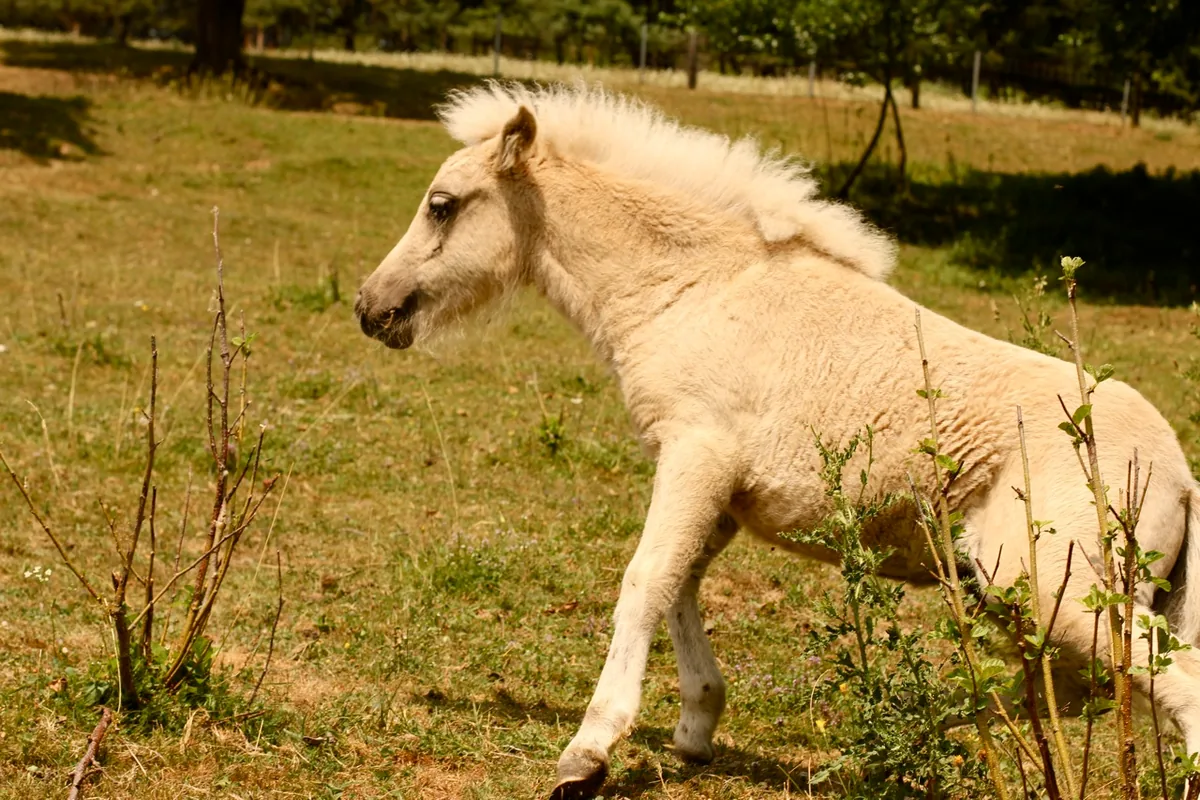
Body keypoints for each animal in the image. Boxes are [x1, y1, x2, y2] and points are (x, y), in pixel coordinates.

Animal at [354, 82, 1200, 798]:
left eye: (442, 206)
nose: (371, 308)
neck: (697, 291)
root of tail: (1181, 476)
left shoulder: (696, 458)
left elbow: (646, 581)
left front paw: (587, 755)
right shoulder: (718, 489)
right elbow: (682, 584)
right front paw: (698, 724)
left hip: (1056, 590)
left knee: (1166, 686)